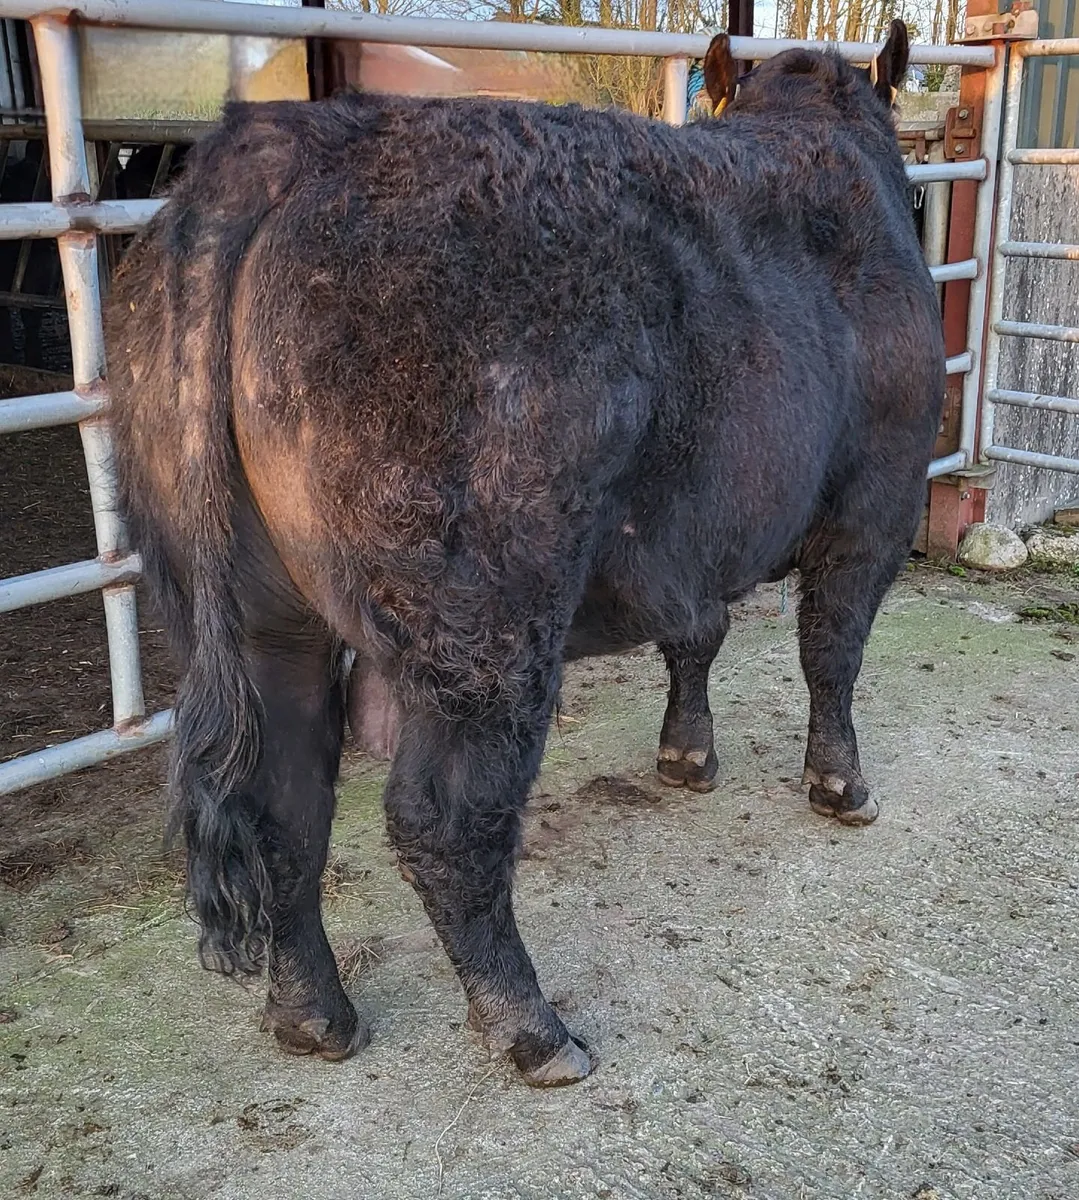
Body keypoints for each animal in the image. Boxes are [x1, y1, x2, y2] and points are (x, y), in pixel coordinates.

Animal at [105, 22, 943, 1088]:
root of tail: (276, 144)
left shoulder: (688, 536)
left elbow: (698, 632)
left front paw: (686, 756)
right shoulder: (877, 498)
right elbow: (831, 646)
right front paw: (840, 785)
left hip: (256, 609)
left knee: (281, 800)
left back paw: (313, 1015)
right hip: (487, 611)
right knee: (443, 817)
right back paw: (532, 1027)